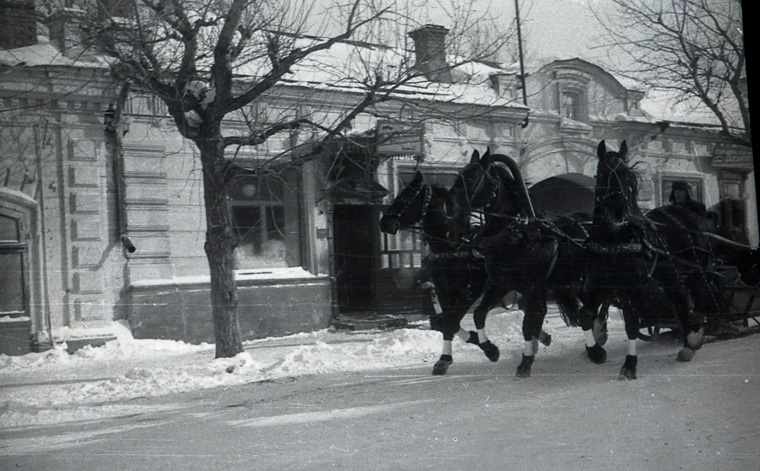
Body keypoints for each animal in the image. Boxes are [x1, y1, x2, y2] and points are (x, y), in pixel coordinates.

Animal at [378, 171, 504, 374]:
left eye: (403, 197)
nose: (383, 222)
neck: (451, 247)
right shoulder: (445, 292)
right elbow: (447, 322)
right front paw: (447, 357)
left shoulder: (470, 291)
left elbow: (451, 321)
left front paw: (487, 347)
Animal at [446, 149, 604, 378]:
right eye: (460, 175)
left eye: (473, 177)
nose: (448, 206)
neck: (517, 232)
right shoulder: (500, 284)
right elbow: (478, 314)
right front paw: (490, 349)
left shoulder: (533, 288)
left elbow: (528, 324)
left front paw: (526, 361)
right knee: (589, 313)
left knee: (590, 313)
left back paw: (596, 348)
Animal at [580, 140, 720, 380]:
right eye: (603, 173)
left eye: (626, 175)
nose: (617, 211)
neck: (614, 237)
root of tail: (687, 213)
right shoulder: (598, 284)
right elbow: (585, 316)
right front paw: (595, 352)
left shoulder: (633, 288)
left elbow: (631, 325)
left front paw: (629, 365)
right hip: (670, 276)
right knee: (680, 303)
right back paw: (687, 343)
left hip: (696, 272)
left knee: (699, 300)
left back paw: (694, 337)